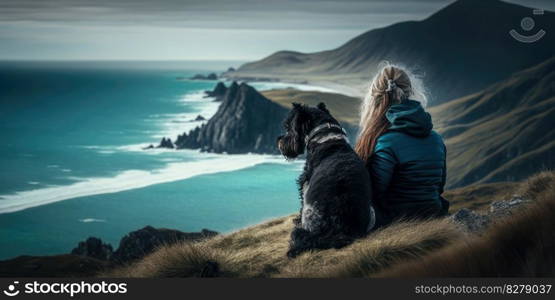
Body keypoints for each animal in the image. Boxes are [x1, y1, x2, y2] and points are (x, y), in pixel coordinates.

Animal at [276, 103, 374, 258]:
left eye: (288, 127)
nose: (279, 141)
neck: (325, 136)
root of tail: (340, 230)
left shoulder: (305, 182)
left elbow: (301, 204)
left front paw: (296, 219)